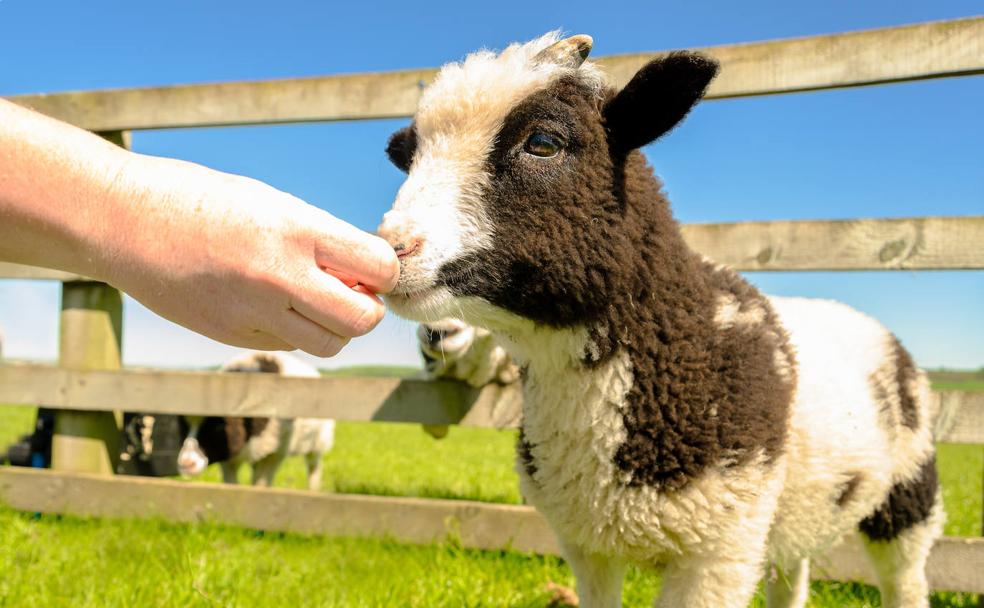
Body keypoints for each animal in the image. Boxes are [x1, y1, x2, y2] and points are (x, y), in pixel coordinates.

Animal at [175, 350, 332, 492]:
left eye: (217, 426)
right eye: (184, 427)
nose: (186, 464)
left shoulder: (274, 455)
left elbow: (260, 486)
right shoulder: (230, 456)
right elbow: (231, 485)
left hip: (317, 443)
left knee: (314, 467)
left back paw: (313, 491)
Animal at [374, 33, 936, 608]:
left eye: (545, 142)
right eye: (409, 157)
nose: (393, 248)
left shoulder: (720, 548)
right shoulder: (588, 545)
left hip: (910, 488)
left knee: (906, 579)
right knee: (791, 574)